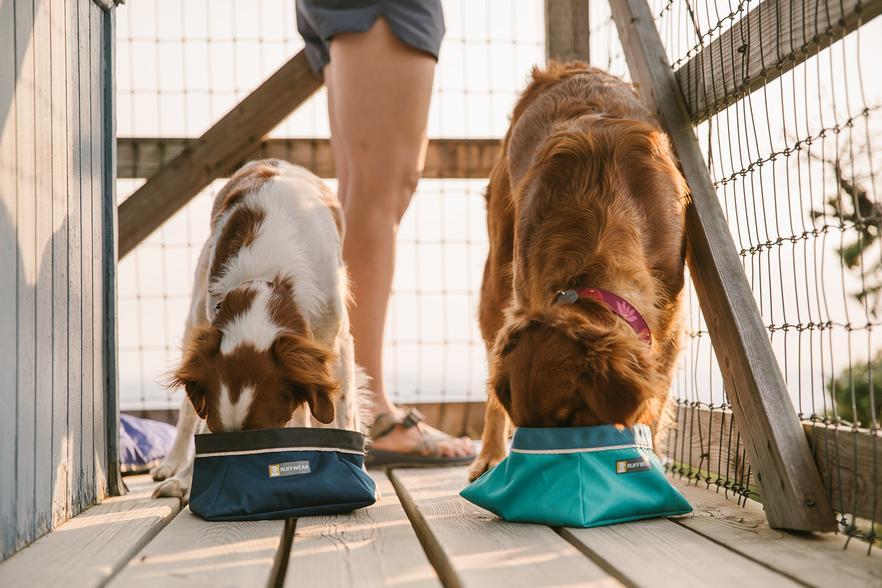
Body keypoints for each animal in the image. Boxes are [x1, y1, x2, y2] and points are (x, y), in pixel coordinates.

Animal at [151, 158, 364, 498]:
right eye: (221, 438)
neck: (271, 280)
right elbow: (199, 421)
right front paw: (186, 478)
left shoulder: (335, 338)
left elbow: (343, 410)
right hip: (196, 314)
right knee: (186, 412)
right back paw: (172, 463)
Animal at [468, 62, 688, 480]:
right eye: (525, 424)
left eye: (567, 418)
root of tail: (562, 69)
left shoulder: (668, 320)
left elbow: (656, 400)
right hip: (495, 281)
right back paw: (489, 455)